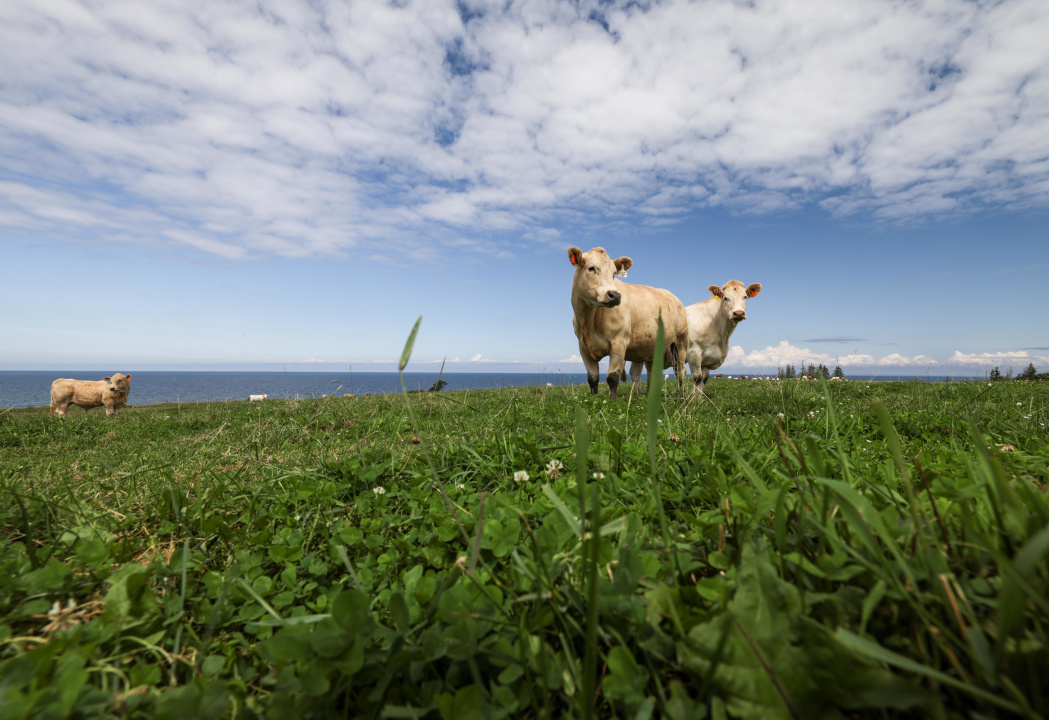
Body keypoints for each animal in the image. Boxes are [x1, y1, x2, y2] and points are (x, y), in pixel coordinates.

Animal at [569, 246, 688, 400]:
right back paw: (649, 395)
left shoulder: (619, 342)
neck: (588, 321)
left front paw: (613, 400)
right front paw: (594, 398)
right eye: (591, 268)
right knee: (651, 371)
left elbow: (613, 377)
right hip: (651, 346)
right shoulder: (583, 347)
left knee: (681, 371)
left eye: (614, 273)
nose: (615, 295)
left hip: (681, 341)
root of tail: (674, 297)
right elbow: (593, 379)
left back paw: (683, 395)